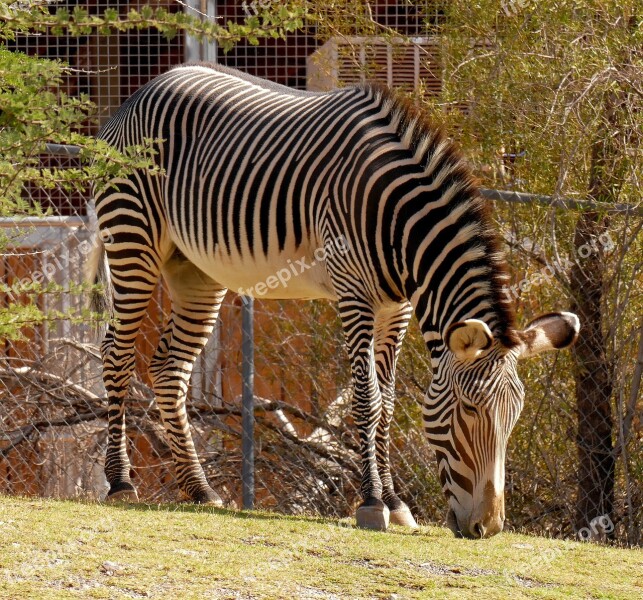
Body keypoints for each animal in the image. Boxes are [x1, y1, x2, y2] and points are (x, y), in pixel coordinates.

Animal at [88, 64, 580, 540]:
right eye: (470, 411)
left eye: (513, 417)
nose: (488, 528)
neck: (396, 218)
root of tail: (141, 92)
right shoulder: (353, 293)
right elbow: (368, 399)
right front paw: (372, 503)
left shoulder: (396, 307)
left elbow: (389, 403)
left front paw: (396, 504)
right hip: (133, 240)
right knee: (117, 353)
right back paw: (121, 482)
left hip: (195, 270)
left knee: (169, 369)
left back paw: (200, 489)